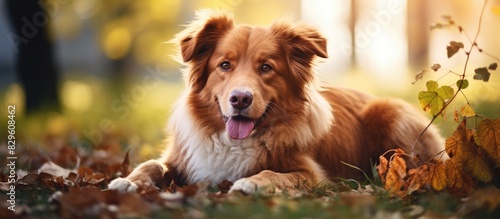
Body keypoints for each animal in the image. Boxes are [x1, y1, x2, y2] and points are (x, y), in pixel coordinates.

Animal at [107, 11, 444, 194]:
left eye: (266, 68)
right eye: (225, 65)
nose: (240, 98)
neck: (233, 142)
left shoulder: (314, 175)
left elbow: (274, 173)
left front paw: (251, 183)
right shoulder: (184, 158)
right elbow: (151, 163)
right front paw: (127, 181)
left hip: (392, 112)